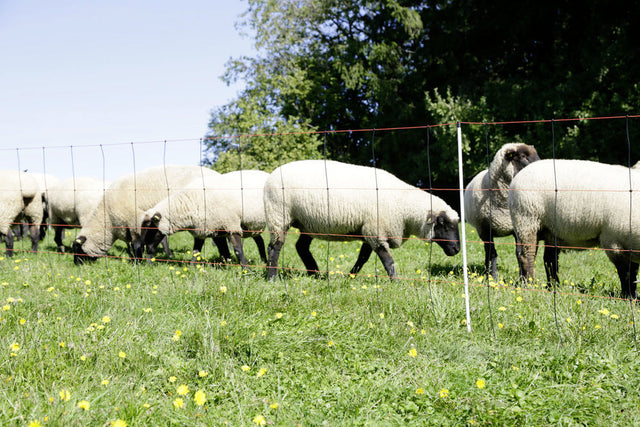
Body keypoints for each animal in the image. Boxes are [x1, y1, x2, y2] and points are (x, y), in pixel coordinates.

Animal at [72, 165, 220, 264]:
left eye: (77, 248)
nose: (75, 264)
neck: (108, 219)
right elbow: (135, 245)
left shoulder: (135, 221)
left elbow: (137, 245)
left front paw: (140, 263)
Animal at [140, 169, 269, 265]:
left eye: (152, 230)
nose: (148, 252)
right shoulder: (206, 230)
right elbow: (197, 251)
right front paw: (192, 268)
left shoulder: (231, 224)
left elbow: (237, 250)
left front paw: (245, 270)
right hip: (252, 224)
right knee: (259, 240)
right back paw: (264, 261)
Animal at [264, 159, 461, 279]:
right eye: (443, 224)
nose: (457, 249)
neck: (404, 206)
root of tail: (272, 175)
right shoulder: (376, 230)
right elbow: (388, 260)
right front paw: (396, 281)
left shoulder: (370, 229)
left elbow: (363, 257)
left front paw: (351, 276)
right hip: (279, 215)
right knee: (274, 247)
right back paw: (272, 277)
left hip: (308, 223)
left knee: (301, 247)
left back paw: (316, 273)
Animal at [464, 143, 540, 279]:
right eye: (523, 156)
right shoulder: (485, 229)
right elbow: (492, 253)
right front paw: (493, 277)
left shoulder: (518, 227)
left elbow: (519, 253)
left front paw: (521, 277)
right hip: (481, 230)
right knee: (488, 251)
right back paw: (486, 272)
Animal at [508, 159, 640, 298]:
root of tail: (519, 175)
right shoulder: (613, 242)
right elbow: (626, 272)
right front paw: (628, 295)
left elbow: (633, 270)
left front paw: (633, 295)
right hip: (527, 220)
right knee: (527, 256)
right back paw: (529, 284)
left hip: (550, 230)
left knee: (549, 260)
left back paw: (554, 286)